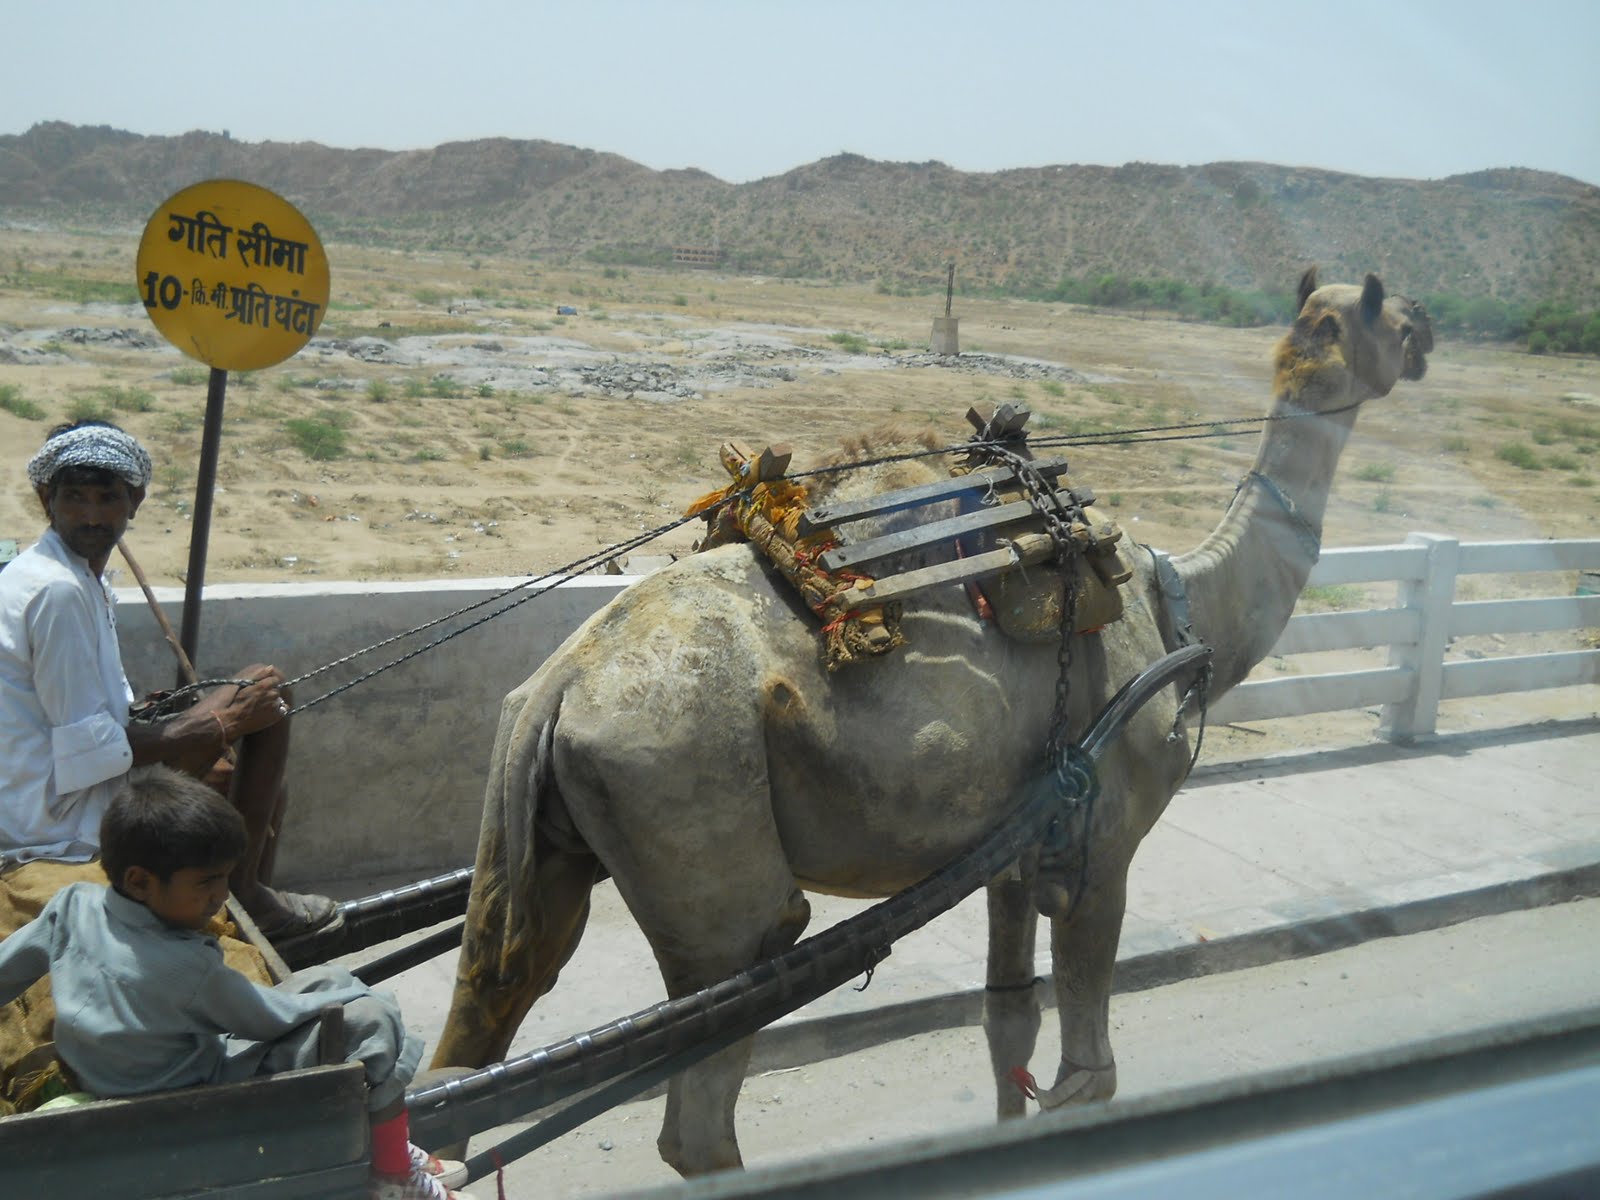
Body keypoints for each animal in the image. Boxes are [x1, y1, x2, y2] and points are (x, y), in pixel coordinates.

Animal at [431, 269, 1433, 1174]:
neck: (1183, 605)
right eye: (1386, 317)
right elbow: (1090, 1074)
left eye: (1354, 316)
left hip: (547, 846)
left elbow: (1007, 1024)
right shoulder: (1102, 842)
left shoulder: (1015, 846)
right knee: (703, 1101)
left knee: (479, 1024)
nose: (1427, 333)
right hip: (692, 831)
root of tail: (556, 689)